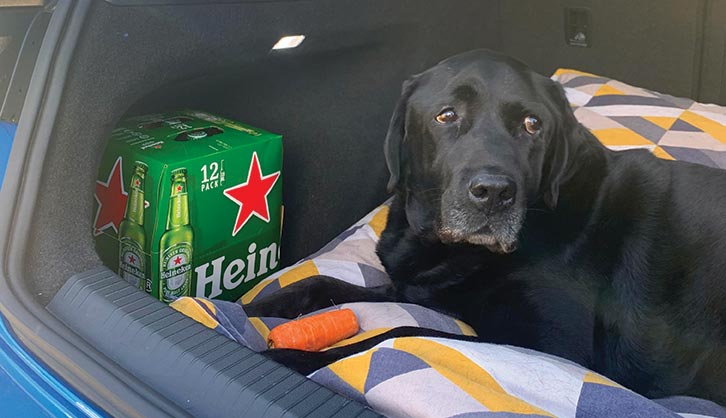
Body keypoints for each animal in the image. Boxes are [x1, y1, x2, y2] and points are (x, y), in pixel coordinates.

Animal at [247, 49, 724, 404]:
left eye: (533, 125)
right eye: (446, 115)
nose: (494, 192)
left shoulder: (549, 345)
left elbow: (402, 332)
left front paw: (294, 357)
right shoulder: (414, 287)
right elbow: (322, 283)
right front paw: (253, 309)